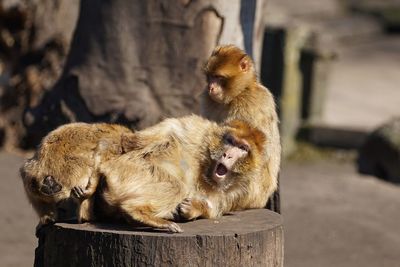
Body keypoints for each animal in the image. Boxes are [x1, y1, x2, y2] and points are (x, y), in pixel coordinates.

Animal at [90, 115, 266, 232]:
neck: (206, 170)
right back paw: (138, 213)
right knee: (176, 186)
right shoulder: (196, 129)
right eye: (230, 141)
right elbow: (131, 141)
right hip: (128, 169)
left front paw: (195, 208)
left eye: (242, 148)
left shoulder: (240, 191)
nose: (228, 155)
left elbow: (216, 208)